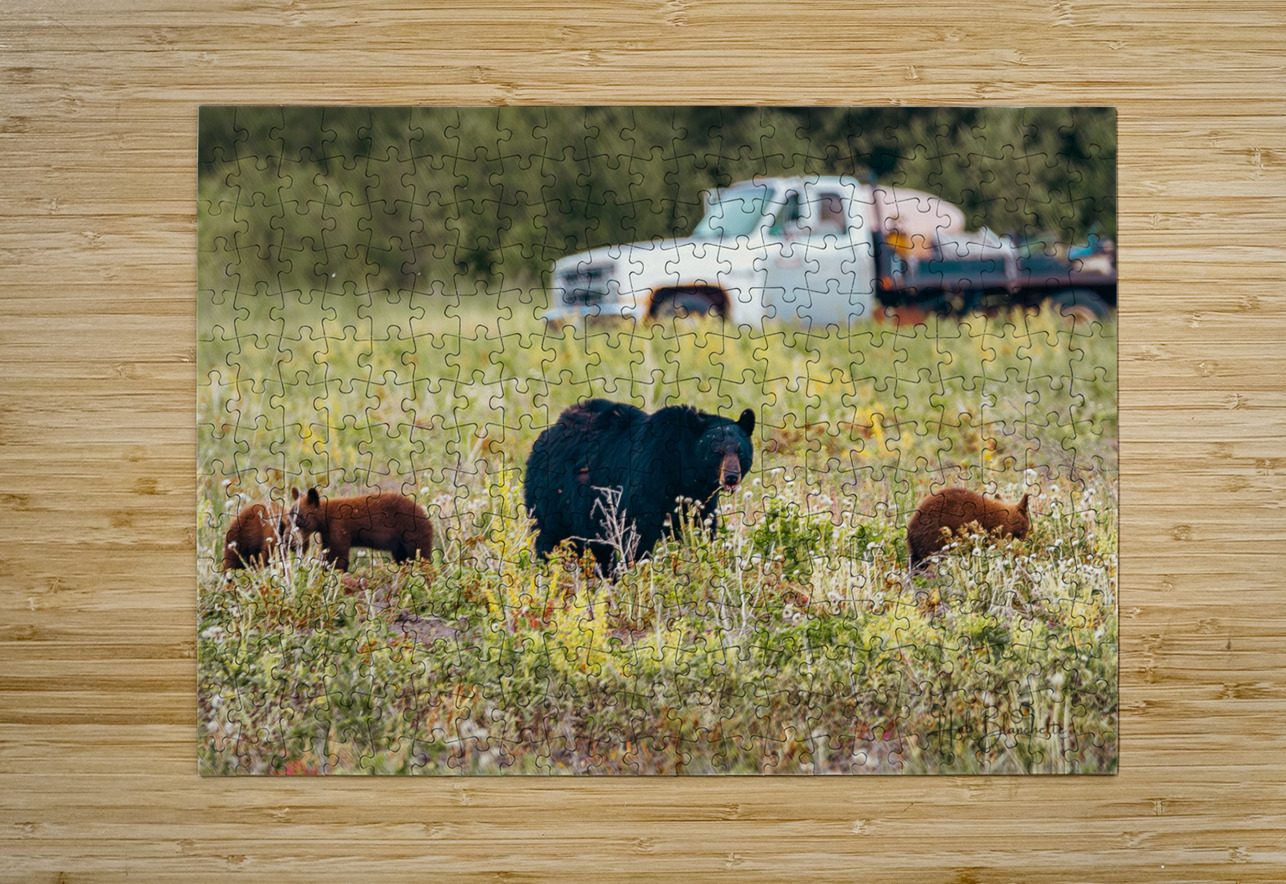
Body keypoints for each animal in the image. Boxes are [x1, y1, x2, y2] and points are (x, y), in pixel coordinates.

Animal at [288, 487, 435, 572]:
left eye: (300, 519)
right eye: (289, 516)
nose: (292, 544)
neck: (325, 519)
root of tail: (425, 515)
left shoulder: (339, 528)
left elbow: (338, 556)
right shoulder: (326, 534)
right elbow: (328, 553)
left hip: (413, 533)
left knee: (421, 555)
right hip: (400, 544)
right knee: (403, 558)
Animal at [524, 398, 755, 570]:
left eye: (740, 452)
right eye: (716, 451)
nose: (731, 477)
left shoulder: (700, 499)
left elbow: (702, 528)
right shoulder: (646, 482)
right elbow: (638, 534)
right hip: (552, 496)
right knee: (549, 538)